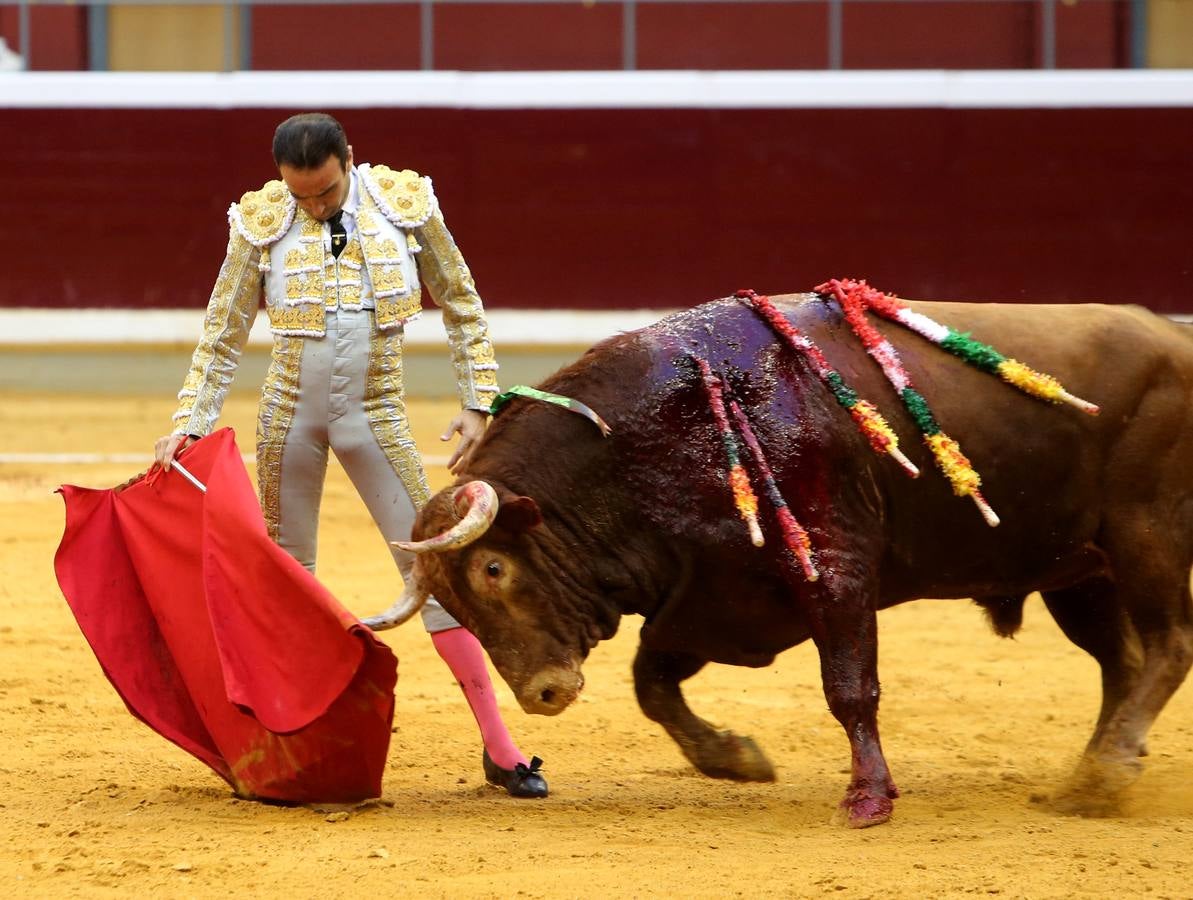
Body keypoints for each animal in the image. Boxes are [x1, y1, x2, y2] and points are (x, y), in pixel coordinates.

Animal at [367, 291, 1188, 825]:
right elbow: (651, 682)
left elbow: (849, 689)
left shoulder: (835, 572)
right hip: (1079, 570)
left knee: (1167, 646)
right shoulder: (716, 595)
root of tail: (1174, 338)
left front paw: (867, 798)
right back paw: (1090, 782)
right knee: (1121, 663)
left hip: (1145, 532)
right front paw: (734, 759)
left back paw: (1109, 769)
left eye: (493, 570)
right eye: (457, 601)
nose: (541, 693)